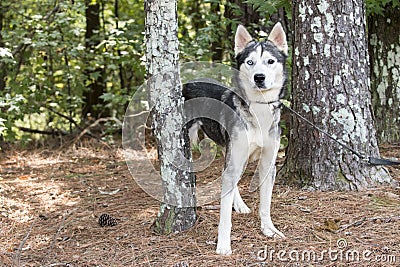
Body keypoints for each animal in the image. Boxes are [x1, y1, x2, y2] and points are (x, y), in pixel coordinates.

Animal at [181, 22, 288, 255]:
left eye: (270, 61)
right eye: (250, 62)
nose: (259, 77)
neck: (259, 109)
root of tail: (186, 83)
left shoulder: (268, 163)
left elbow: (265, 204)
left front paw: (269, 229)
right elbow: (224, 217)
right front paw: (223, 245)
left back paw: (239, 204)